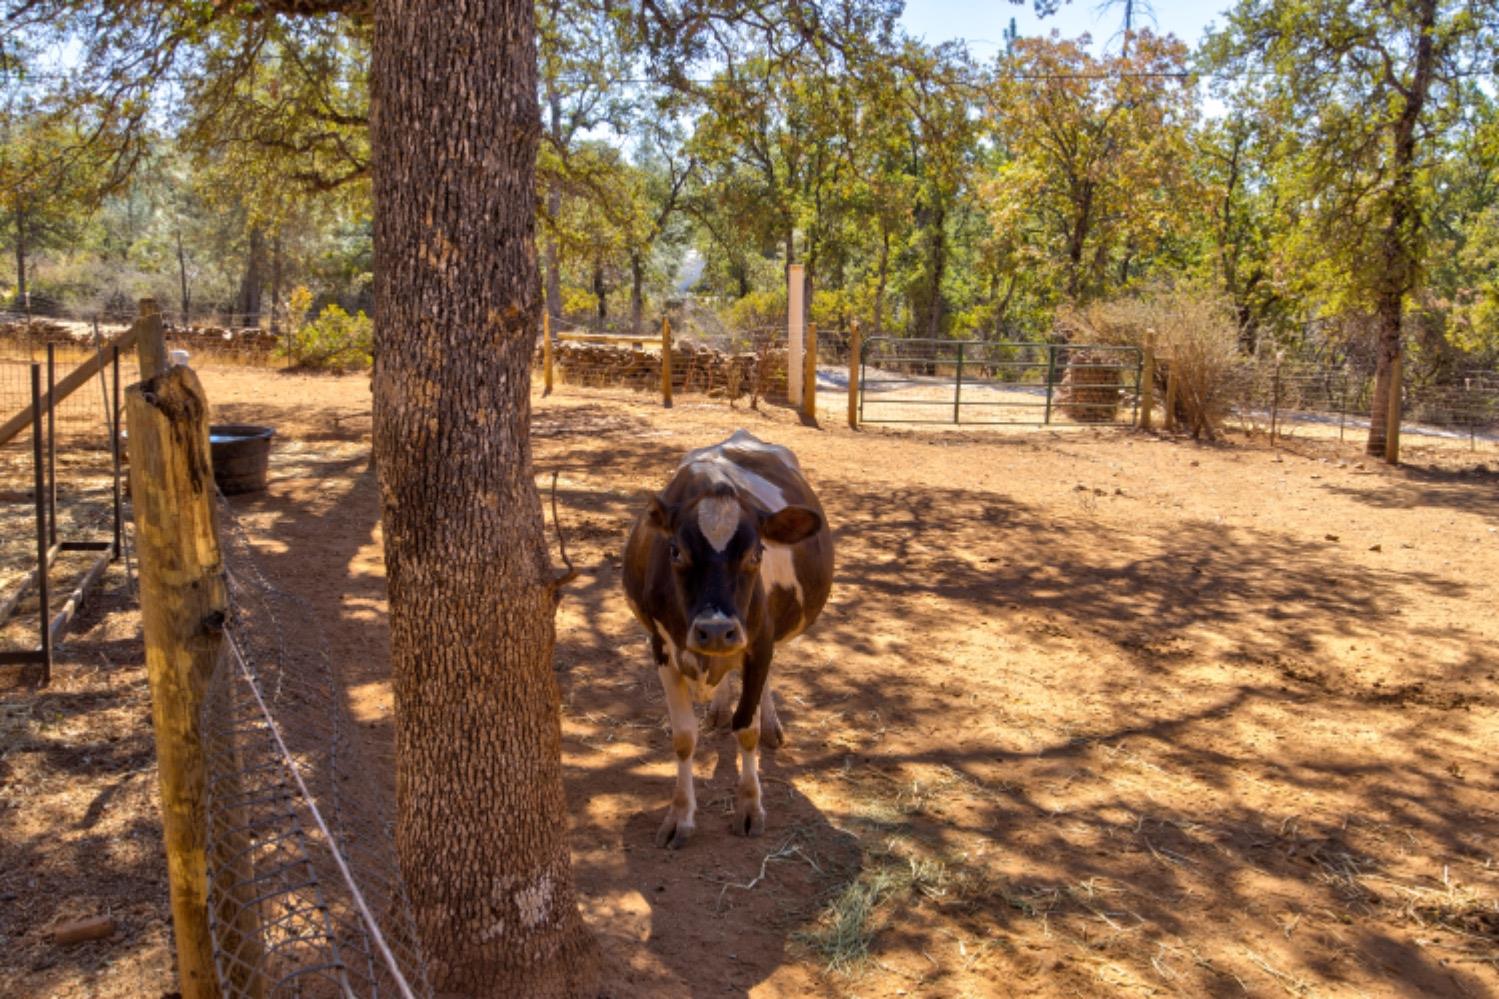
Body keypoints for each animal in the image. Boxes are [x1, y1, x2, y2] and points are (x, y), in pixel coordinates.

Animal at [617, 429, 833, 846]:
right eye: (676, 552)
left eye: (756, 554)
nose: (716, 629)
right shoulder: (661, 647)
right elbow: (683, 737)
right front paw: (680, 815)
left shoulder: (759, 644)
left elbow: (746, 728)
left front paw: (750, 806)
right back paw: (718, 707)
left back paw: (771, 724)